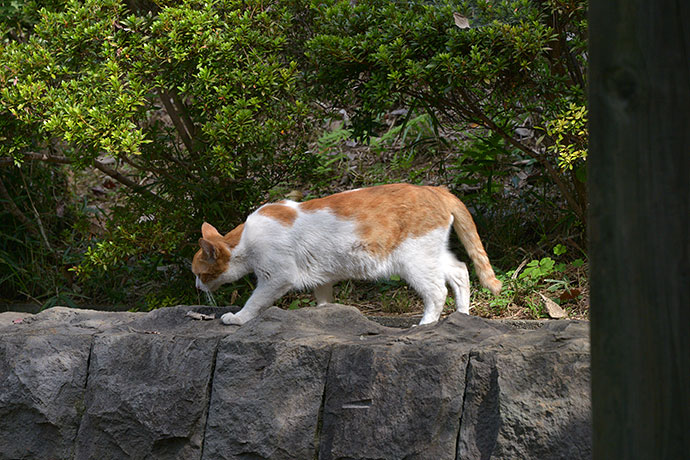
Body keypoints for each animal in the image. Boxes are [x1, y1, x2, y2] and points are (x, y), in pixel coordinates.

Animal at [191, 183, 498, 328]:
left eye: (199, 274)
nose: (196, 286)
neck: (245, 240)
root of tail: (436, 189)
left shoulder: (276, 278)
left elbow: (254, 302)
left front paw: (238, 318)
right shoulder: (320, 278)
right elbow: (324, 301)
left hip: (415, 261)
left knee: (436, 292)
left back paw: (425, 325)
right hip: (433, 254)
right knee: (460, 271)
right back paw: (462, 315)